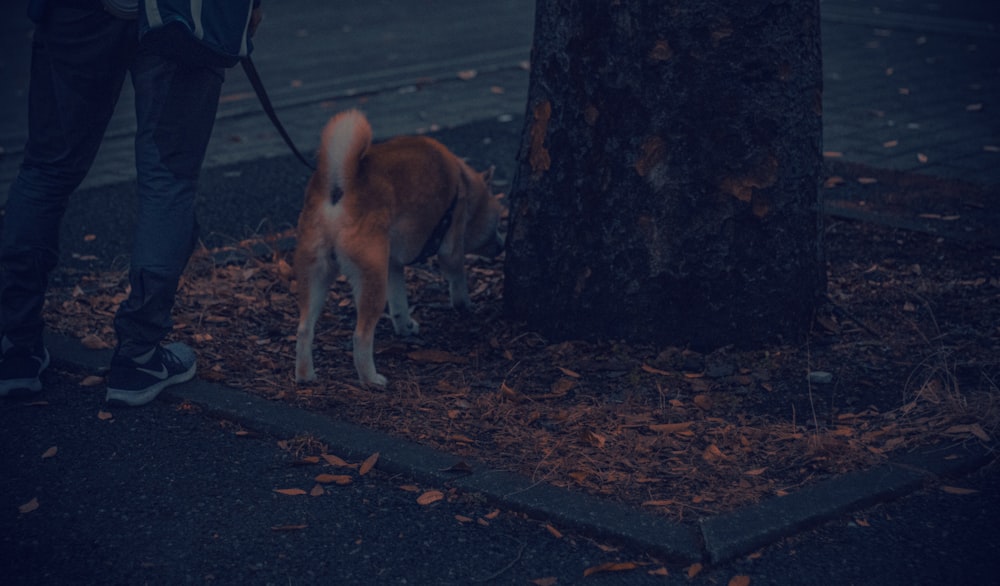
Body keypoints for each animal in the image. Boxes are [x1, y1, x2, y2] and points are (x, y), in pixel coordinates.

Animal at [292, 109, 504, 386]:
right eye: (498, 222)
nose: (502, 245)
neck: (464, 184)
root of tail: (339, 187)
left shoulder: (392, 265)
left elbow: (399, 306)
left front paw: (405, 328)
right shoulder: (451, 247)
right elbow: (458, 283)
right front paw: (466, 306)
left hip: (316, 274)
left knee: (304, 329)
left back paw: (305, 375)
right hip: (371, 278)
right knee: (361, 336)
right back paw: (370, 379)